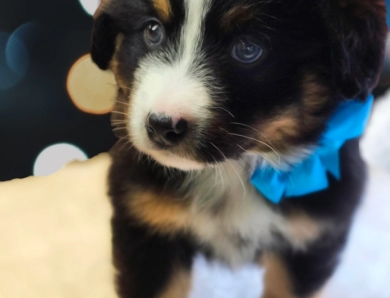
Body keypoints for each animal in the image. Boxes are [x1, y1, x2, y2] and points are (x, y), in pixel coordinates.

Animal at [90, 0, 386, 298]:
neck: (233, 171)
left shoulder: (309, 236)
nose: (162, 126)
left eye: (247, 49)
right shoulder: (147, 226)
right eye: (153, 30)